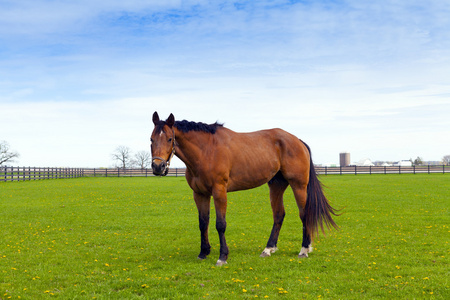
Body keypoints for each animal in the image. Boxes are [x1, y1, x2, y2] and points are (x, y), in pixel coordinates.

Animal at [151, 112, 338, 264]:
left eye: (169, 139)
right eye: (151, 139)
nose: (158, 167)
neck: (207, 151)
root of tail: (297, 141)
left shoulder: (219, 191)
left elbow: (220, 224)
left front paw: (222, 256)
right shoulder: (199, 194)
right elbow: (203, 223)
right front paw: (203, 252)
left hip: (298, 185)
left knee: (304, 214)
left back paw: (304, 250)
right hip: (276, 185)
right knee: (278, 215)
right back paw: (268, 249)